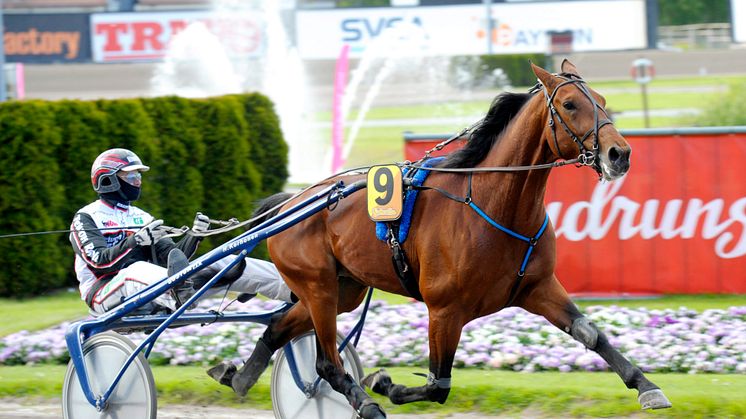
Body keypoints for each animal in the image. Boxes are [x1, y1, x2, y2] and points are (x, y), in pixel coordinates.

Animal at [206, 60, 672, 418]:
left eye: (604, 101)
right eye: (570, 104)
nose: (619, 154)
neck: (495, 205)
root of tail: (290, 201)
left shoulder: (537, 287)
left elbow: (591, 334)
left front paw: (646, 386)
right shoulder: (445, 310)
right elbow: (438, 384)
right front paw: (386, 384)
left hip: (343, 289)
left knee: (280, 328)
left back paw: (240, 376)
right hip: (318, 285)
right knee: (327, 363)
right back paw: (364, 402)